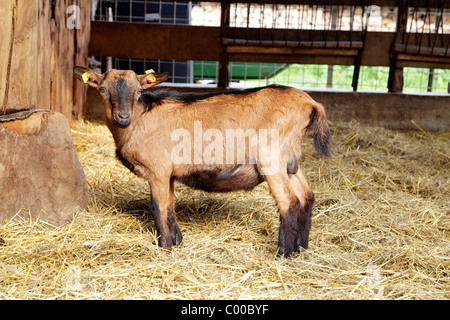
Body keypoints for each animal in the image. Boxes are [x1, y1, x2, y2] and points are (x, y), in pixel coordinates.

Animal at [74, 65, 330, 258]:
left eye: (138, 91)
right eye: (102, 89)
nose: (122, 117)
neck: (139, 119)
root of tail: (311, 104)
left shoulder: (157, 170)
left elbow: (158, 207)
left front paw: (165, 247)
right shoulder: (168, 173)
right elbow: (169, 206)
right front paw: (177, 242)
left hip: (271, 157)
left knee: (289, 202)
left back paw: (283, 253)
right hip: (290, 161)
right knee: (307, 196)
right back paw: (301, 248)